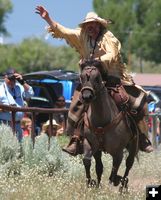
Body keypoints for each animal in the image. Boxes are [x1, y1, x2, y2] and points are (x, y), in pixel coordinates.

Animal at [79, 61, 138, 192]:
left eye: (97, 78)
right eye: (81, 77)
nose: (86, 96)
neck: (102, 121)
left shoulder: (118, 152)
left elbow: (114, 170)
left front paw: (112, 183)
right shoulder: (91, 145)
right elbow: (91, 163)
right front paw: (92, 184)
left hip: (133, 145)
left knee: (129, 164)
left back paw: (122, 186)